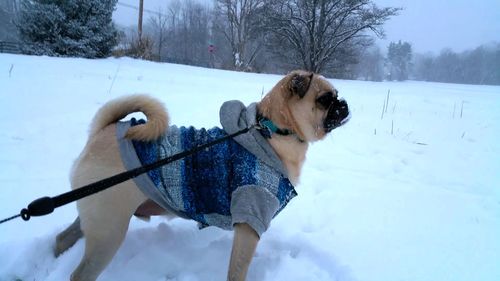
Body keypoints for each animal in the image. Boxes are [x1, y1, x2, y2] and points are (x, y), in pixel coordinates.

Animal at [55, 70, 348, 280]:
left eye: (336, 96)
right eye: (325, 99)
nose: (344, 103)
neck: (271, 131)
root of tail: (104, 132)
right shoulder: (249, 221)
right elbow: (237, 271)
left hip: (98, 214)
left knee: (65, 237)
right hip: (109, 230)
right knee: (81, 273)